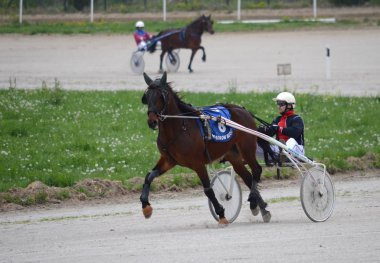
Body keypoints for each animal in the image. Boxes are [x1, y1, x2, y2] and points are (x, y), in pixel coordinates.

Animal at [141, 71, 272, 226]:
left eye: (161, 96)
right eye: (147, 96)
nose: (152, 121)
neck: (179, 129)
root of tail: (243, 110)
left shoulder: (197, 163)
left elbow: (208, 189)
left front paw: (221, 214)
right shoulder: (169, 160)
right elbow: (149, 176)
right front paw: (145, 206)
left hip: (247, 148)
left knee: (257, 170)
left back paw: (254, 201)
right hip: (233, 155)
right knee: (248, 177)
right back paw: (261, 208)